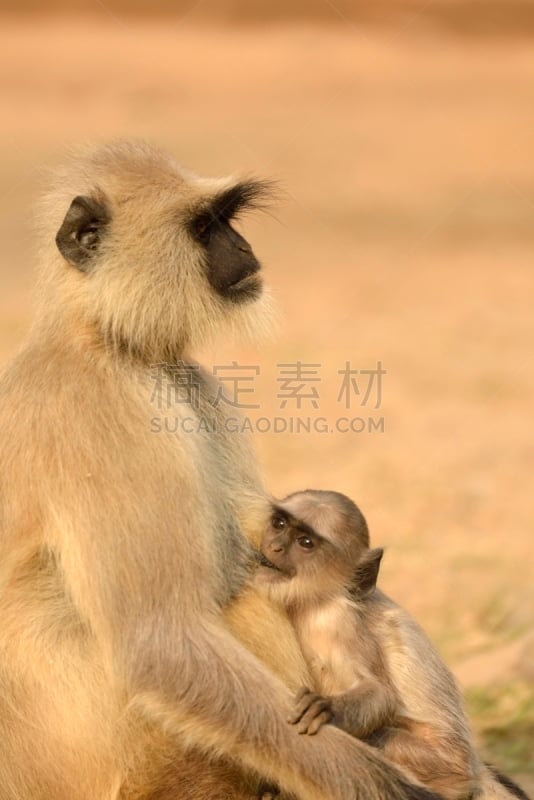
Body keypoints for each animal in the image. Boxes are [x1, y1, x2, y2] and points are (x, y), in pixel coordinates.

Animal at [0, 144, 444, 800]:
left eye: (226, 221)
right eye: (205, 227)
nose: (242, 246)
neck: (105, 343)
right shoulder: (103, 419)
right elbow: (162, 643)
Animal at [255, 490, 482, 800]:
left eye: (306, 543)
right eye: (279, 524)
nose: (275, 547)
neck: (308, 604)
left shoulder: (339, 620)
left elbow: (380, 692)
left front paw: (328, 710)